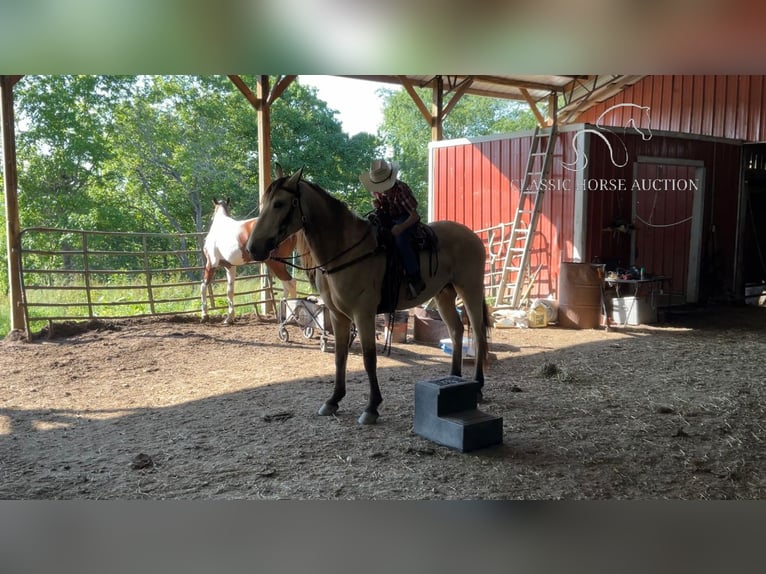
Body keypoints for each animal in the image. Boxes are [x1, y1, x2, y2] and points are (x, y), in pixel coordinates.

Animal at [246, 169, 492, 426]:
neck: (345, 251)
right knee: (456, 331)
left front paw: (372, 407)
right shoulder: (338, 316)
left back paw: (478, 386)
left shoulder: (363, 314)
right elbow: (340, 356)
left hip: (471, 290)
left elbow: (368, 358)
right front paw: (333, 400)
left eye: (279, 203)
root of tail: (472, 236)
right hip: (444, 295)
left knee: (477, 333)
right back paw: (455, 378)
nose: (253, 248)